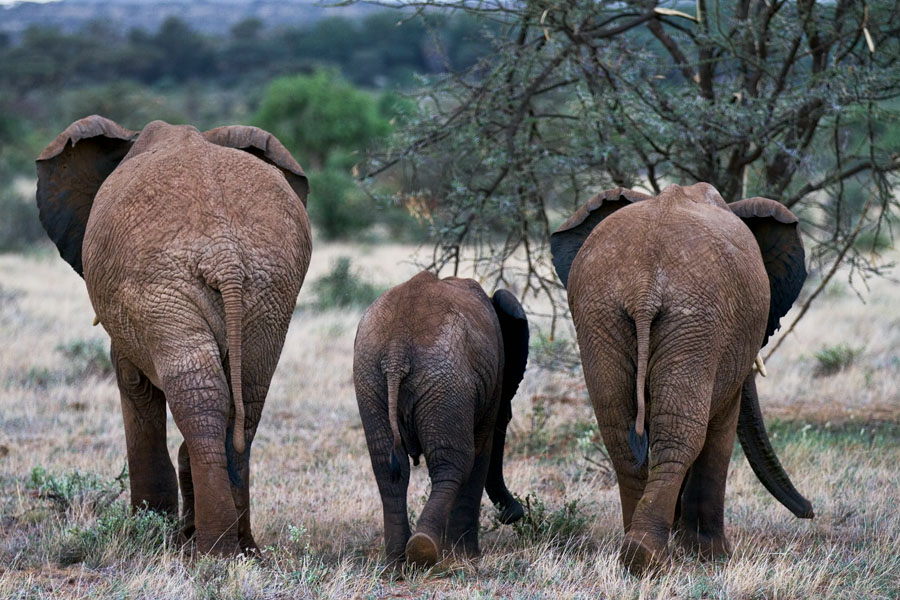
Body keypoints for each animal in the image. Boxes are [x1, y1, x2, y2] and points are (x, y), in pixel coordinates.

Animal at [35, 115, 312, 556]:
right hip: (269, 288)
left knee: (198, 395)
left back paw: (211, 553)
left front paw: (146, 530)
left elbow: (131, 381)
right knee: (246, 398)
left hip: (162, 283)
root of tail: (224, 255)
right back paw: (242, 550)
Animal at [353, 271, 529, 567]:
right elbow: (481, 451)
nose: (514, 514)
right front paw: (466, 556)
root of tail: (396, 349)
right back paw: (425, 551)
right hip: (445, 382)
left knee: (388, 467)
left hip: (371, 379)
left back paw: (398, 560)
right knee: (455, 461)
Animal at [550, 183, 813, 575]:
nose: (810, 510)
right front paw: (714, 556)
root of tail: (644, 286)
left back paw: (635, 551)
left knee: (619, 431)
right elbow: (720, 427)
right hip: (696, 318)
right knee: (681, 431)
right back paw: (649, 557)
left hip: (603, 314)